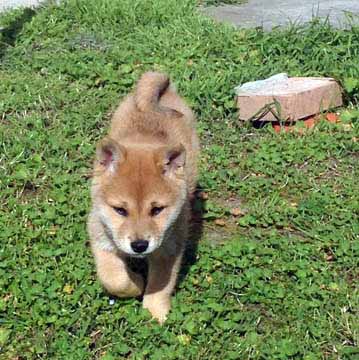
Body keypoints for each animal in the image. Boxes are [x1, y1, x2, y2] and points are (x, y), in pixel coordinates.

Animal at [87, 71, 200, 324]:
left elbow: (160, 284)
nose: (139, 245)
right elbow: (114, 279)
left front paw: (155, 313)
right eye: (120, 210)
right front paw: (136, 283)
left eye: (157, 210)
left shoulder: (169, 248)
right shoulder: (100, 235)